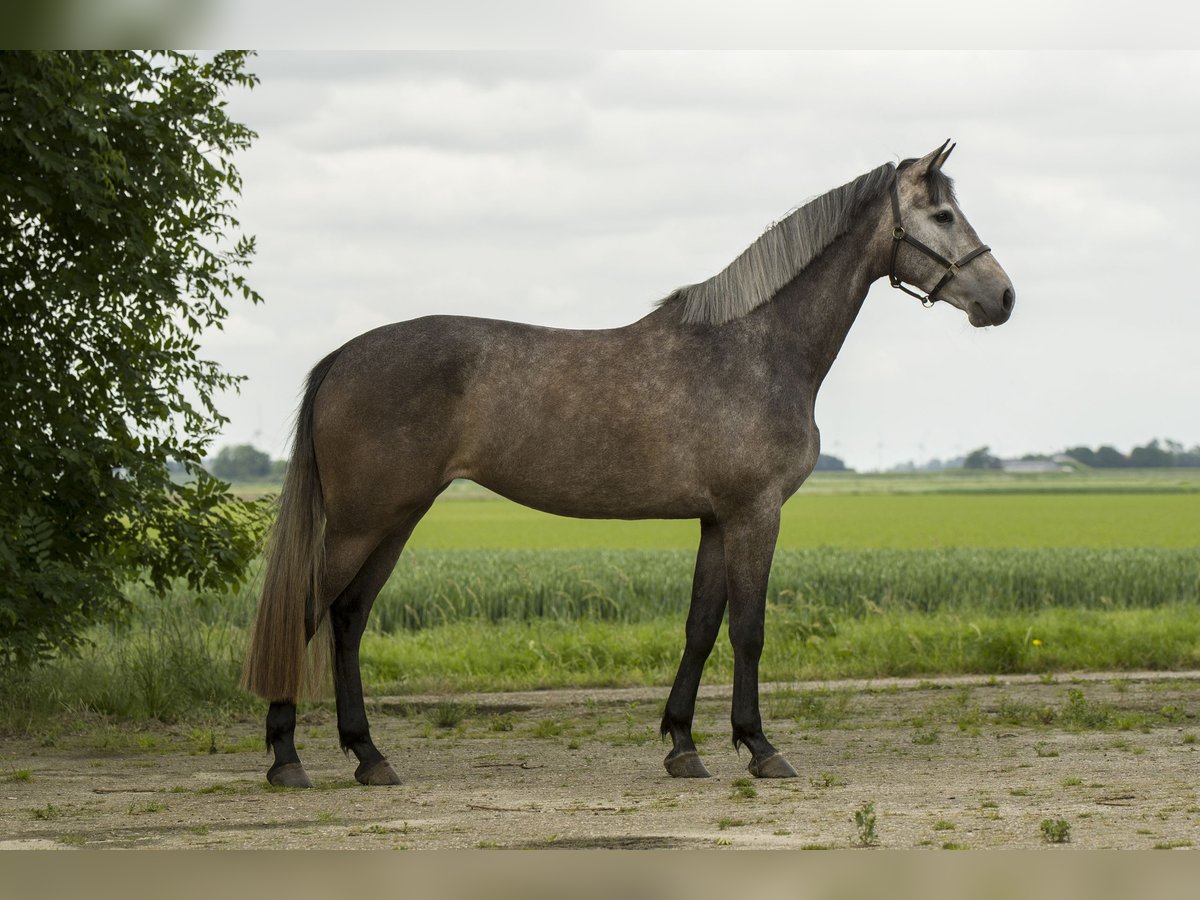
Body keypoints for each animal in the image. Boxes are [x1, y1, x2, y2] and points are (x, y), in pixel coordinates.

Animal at [241, 141, 1012, 787]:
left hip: (395, 519)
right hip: (362, 522)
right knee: (308, 611)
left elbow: (701, 628)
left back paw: (369, 756)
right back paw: (286, 758)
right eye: (942, 214)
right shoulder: (754, 513)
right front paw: (761, 748)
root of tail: (343, 357)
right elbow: (749, 630)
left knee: (347, 619)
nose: (1002, 297)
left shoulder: (715, 520)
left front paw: (684, 746)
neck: (756, 348)